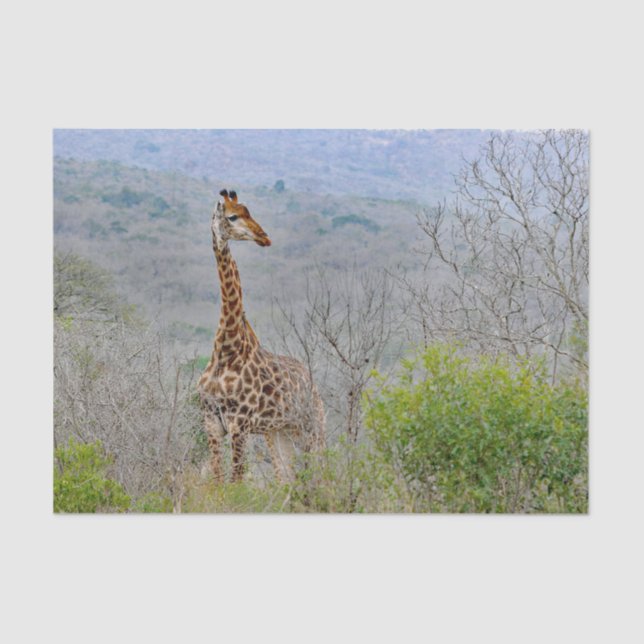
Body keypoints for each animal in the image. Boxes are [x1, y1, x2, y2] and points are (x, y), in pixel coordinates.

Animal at [197, 189, 325, 484]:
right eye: (232, 216)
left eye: (249, 211)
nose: (264, 236)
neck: (226, 349)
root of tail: (314, 388)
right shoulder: (212, 424)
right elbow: (218, 483)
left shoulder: (239, 425)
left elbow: (235, 483)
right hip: (279, 433)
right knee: (287, 480)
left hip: (313, 428)